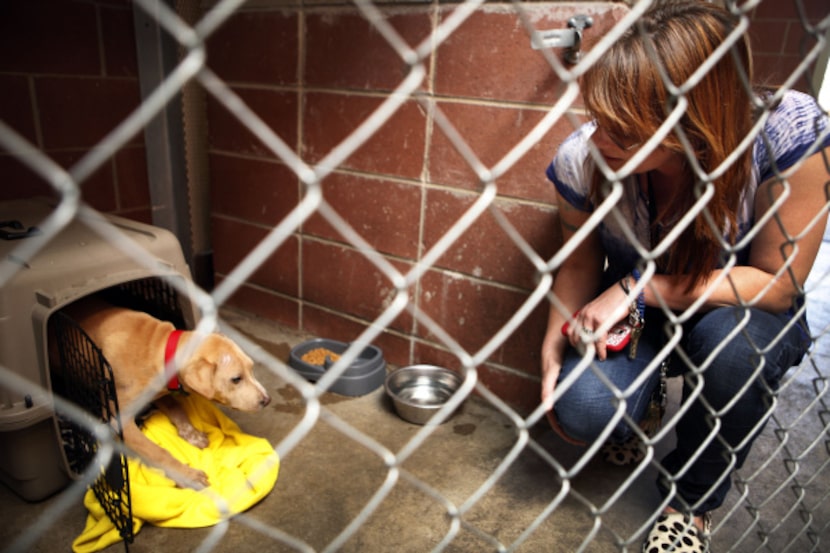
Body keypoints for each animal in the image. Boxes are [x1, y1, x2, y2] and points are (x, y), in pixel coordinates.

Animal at [67, 298, 272, 488]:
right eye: (236, 379)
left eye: (252, 368)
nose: (267, 400)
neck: (157, 348)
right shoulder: (120, 420)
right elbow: (157, 452)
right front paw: (187, 475)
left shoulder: (160, 391)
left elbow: (177, 408)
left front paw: (192, 434)